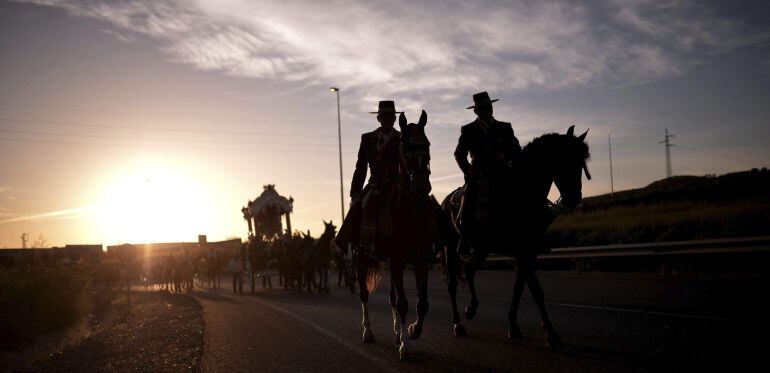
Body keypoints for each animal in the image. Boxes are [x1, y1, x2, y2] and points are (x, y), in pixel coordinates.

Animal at [346, 109, 440, 358]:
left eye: (427, 143)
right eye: (405, 147)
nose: (423, 186)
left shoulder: (419, 260)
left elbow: (421, 303)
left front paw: (413, 330)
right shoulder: (397, 259)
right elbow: (403, 302)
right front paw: (405, 347)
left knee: (390, 297)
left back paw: (398, 332)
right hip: (360, 258)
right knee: (364, 294)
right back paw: (368, 332)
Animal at [438, 125, 588, 348]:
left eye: (582, 161)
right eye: (564, 158)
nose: (574, 198)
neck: (521, 194)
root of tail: (445, 201)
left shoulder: (528, 252)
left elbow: (520, 288)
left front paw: (514, 327)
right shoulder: (521, 250)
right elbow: (535, 290)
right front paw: (550, 333)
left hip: (482, 248)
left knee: (469, 269)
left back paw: (470, 309)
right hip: (451, 246)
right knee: (453, 283)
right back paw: (460, 321)